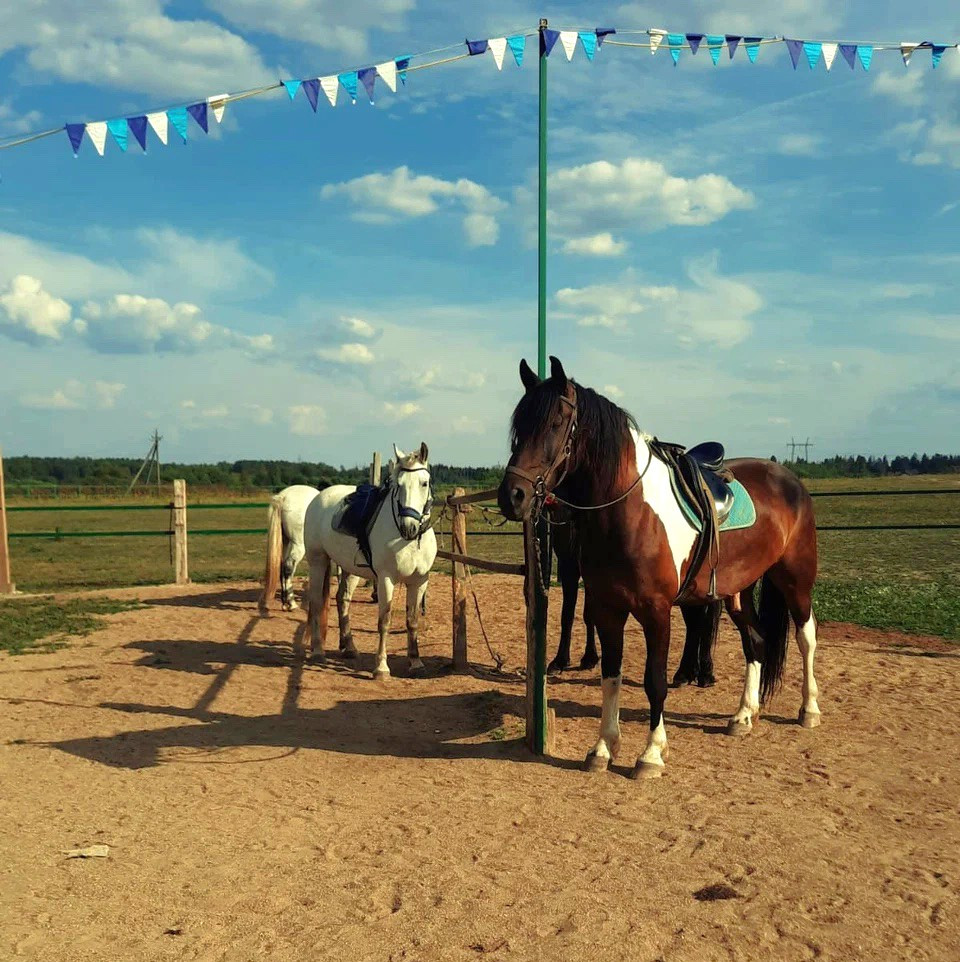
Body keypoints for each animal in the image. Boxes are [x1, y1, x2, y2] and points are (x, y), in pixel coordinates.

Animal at [258, 484, 320, 613]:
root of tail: (283, 496)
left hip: (285, 543)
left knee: (282, 567)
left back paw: (284, 603)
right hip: (298, 545)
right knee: (288, 567)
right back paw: (291, 604)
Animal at [268, 443, 437, 680]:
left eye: (424, 483)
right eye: (398, 485)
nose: (409, 527)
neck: (406, 541)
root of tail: (317, 498)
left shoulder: (419, 581)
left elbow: (412, 621)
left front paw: (416, 662)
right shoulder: (386, 579)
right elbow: (384, 621)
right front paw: (381, 667)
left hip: (349, 569)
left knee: (342, 600)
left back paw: (348, 647)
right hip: (318, 561)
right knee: (316, 601)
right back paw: (317, 650)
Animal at [547, 506, 722, 687]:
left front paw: (586, 658)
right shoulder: (571, 564)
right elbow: (570, 615)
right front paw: (564, 661)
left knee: (704, 621)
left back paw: (703, 674)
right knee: (695, 622)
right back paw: (687, 673)